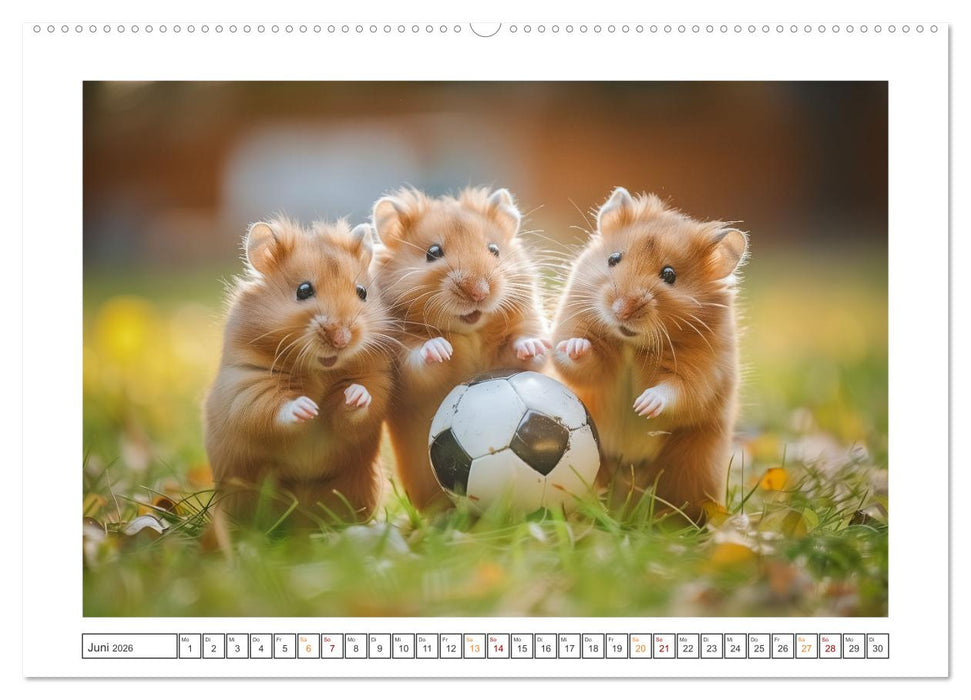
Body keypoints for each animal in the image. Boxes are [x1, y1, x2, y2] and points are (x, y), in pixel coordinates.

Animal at [204, 217, 394, 528]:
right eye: (303, 290)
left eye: (362, 292)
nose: (341, 338)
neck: (319, 369)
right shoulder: (247, 384)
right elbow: (272, 409)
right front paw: (306, 408)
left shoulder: (377, 380)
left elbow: (361, 404)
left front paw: (354, 396)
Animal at [372, 187, 551, 512]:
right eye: (433, 252)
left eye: (494, 249)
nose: (479, 292)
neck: (470, 331)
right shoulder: (403, 365)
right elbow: (420, 358)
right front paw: (441, 349)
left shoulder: (525, 325)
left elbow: (526, 348)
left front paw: (532, 345)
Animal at [550, 187, 748, 520]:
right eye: (614, 258)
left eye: (669, 274)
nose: (621, 309)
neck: (630, 343)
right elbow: (577, 360)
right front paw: (575, 347)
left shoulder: (703, 369)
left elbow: (678, 389)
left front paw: (643, 406)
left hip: (693, 464)